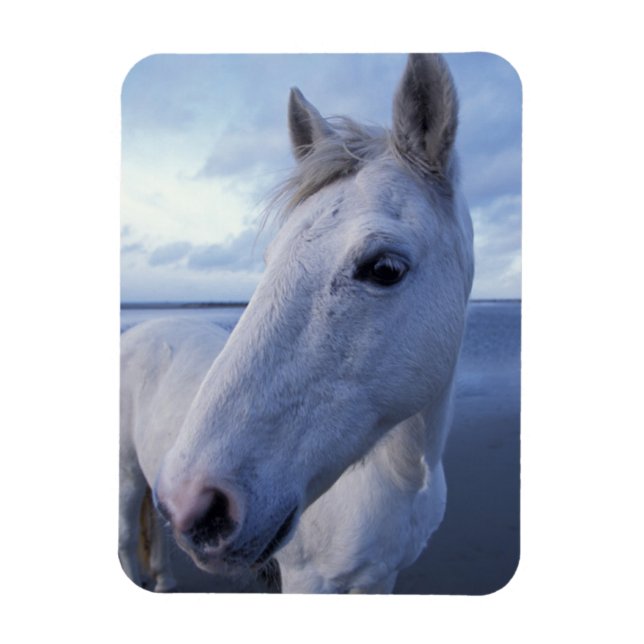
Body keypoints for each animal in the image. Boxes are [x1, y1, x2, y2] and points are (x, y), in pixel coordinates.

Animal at [119, 53, 474, 593]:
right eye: (269, 258)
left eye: (385, 268)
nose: (193, 503)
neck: (402, 477)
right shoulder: (309, 581)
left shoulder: (382, 578)